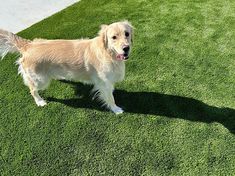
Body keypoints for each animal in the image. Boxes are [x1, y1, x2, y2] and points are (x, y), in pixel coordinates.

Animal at [0, 21, 133, 114]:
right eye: (113, 37)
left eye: (127, 34)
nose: (126, 48)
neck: (107, 53)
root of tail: (28, 45)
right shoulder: (104, 83)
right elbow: (110, 98)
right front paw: (116, 109)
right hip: (40, 80)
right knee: (32, 90)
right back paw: (39, 101)